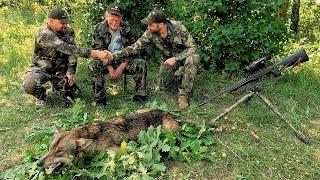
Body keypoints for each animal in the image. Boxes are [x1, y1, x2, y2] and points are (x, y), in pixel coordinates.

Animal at [37, 109, 180, 174]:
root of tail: (167, 112)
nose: (38, 163)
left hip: (169, 130)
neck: (95, 139)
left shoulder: (121, 151)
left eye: (59, 152)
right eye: (50, 148)